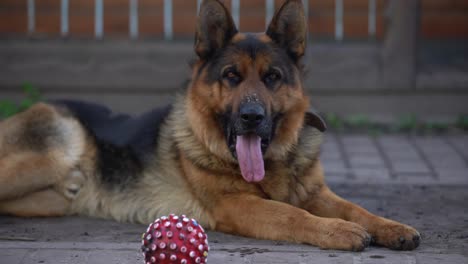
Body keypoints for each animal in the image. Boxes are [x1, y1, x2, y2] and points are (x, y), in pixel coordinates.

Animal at [0, 0, 420, 252]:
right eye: (231, 76)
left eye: (272, 77)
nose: (252, 117)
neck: (273, 164)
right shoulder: (238, 205)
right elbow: (293, 215)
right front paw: (338, 231)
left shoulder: (315, 192)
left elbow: (356, 208)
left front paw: (392, 227)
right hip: (49, 157)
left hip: (52, 198)